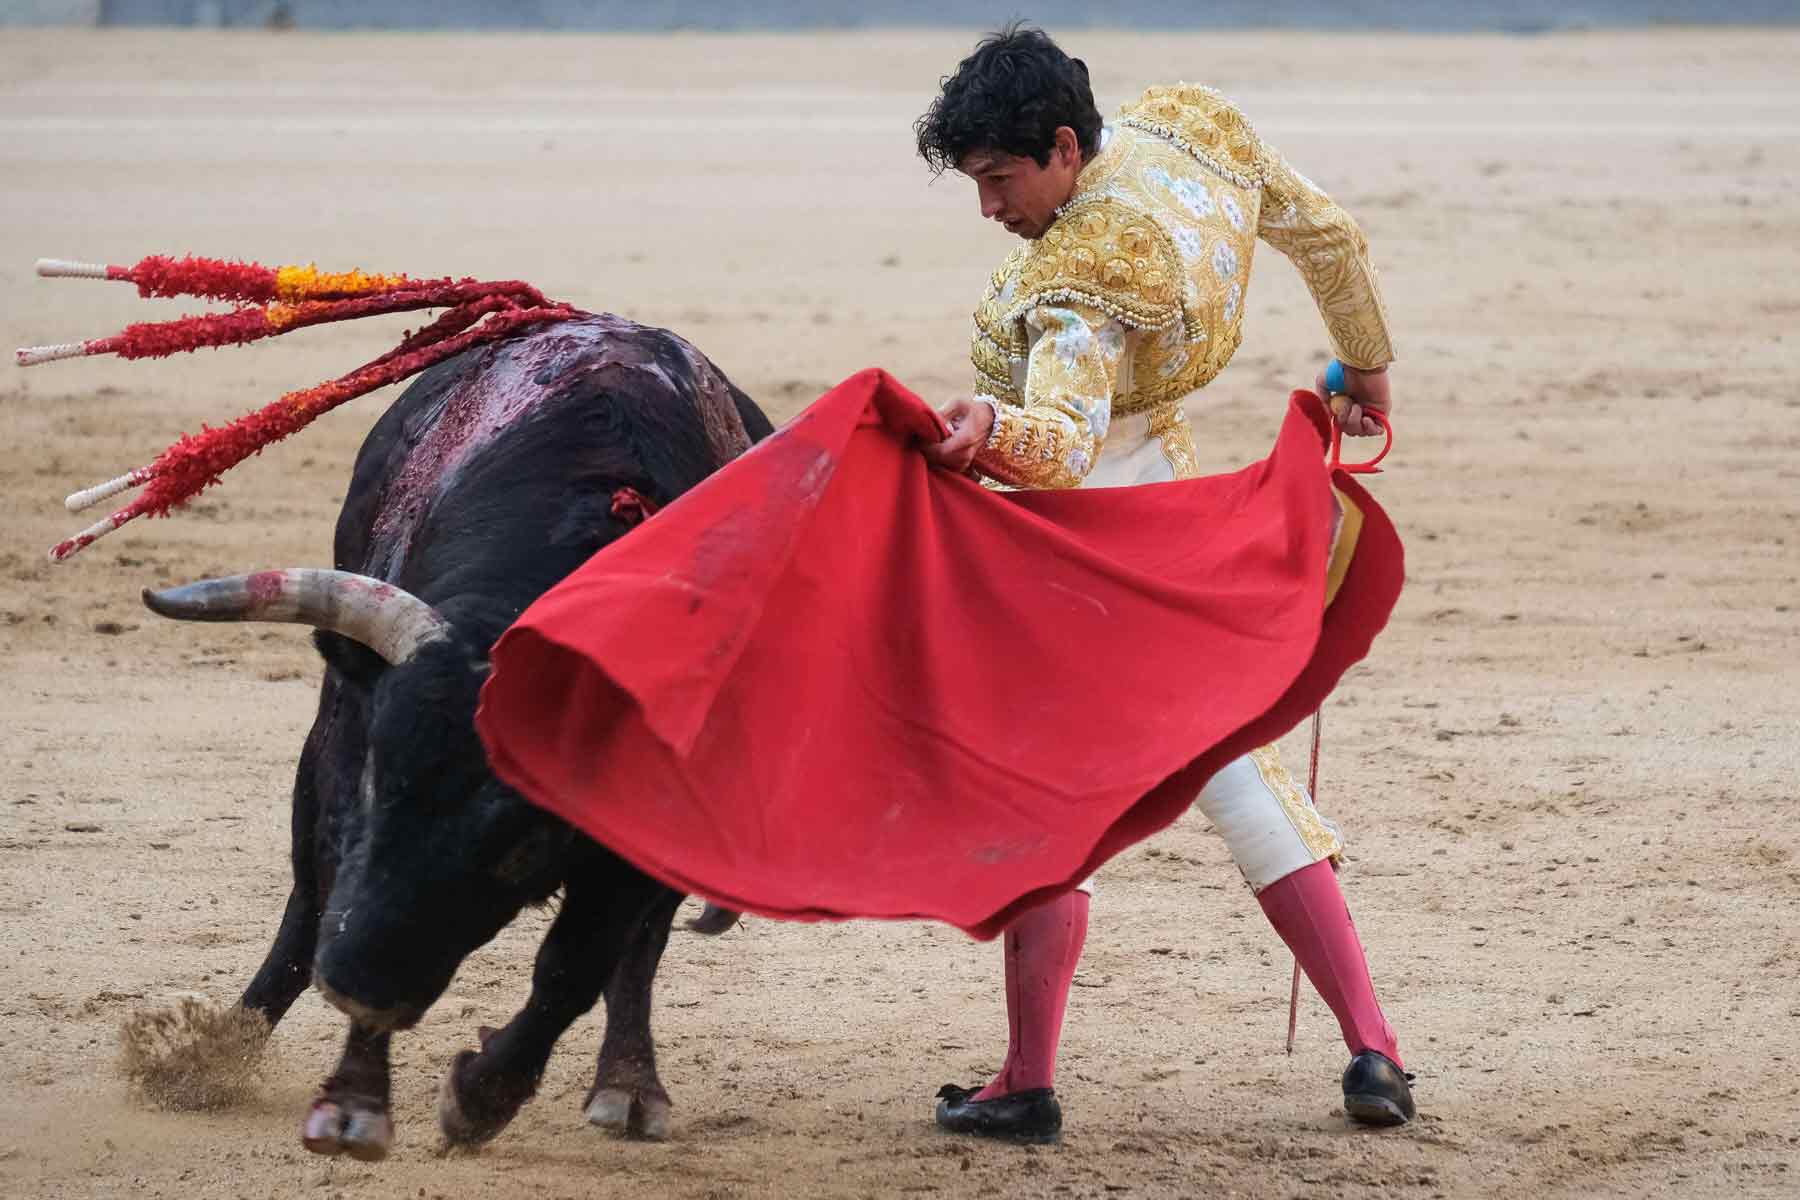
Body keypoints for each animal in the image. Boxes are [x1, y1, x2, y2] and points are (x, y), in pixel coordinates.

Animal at [145, 314, 774, 1158]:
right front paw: (351, 1103)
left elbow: (577, 963)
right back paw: (218, 1051)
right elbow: (331, 889)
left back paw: (629, 1086)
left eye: (527, 847)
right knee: (308, 907)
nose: (358, 982)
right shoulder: (343, 747)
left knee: (637, 952)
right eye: (377, 775)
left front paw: (481, 1097)